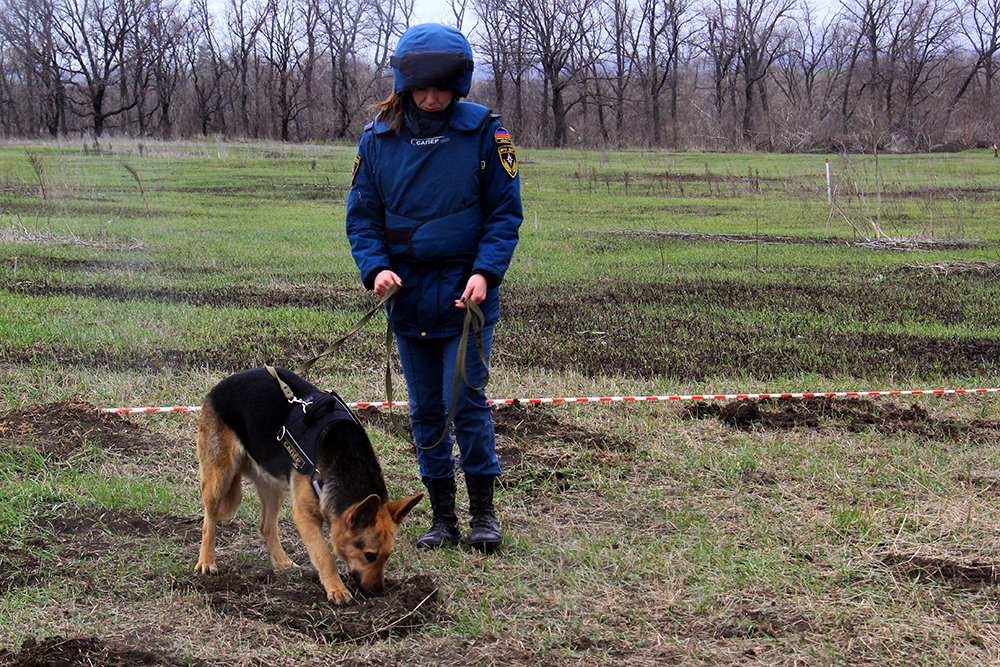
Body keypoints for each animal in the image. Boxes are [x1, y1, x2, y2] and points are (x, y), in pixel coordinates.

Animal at [196, 366, 426, 604]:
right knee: (209, 521)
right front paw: (337, 589)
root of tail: (225, 382)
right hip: (219, 477)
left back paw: (281, 562)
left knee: (266, 527)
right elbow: (324, 555)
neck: (345, 458)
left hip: (271, 486)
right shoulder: (304, 516)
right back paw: (206, 561)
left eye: (388, 555)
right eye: (370, 556)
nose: (379, 593)